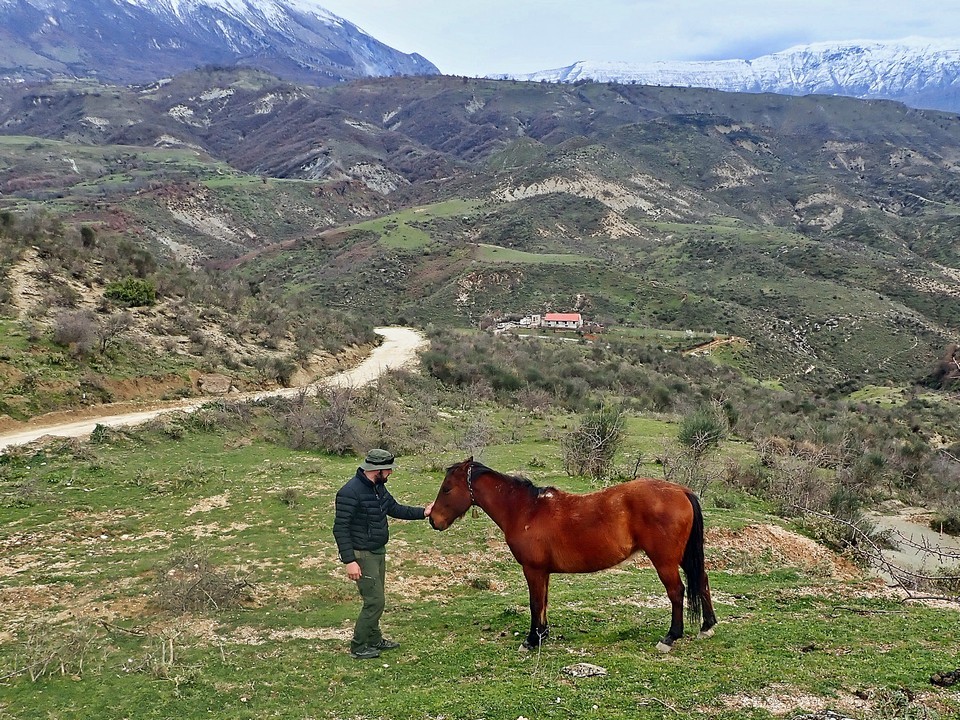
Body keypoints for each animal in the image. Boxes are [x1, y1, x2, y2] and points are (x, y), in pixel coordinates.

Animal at [432, 462, 716, 652]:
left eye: (446, 489)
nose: (433, 520)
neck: (526, 510)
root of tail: (681, 491)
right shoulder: (543, 571)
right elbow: (544, 602)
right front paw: (542, 634)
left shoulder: (532, 569)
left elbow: (535, 603)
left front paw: (531, 640)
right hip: (682, 556)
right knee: (701, 580)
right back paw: (707, 626)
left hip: (664, 560)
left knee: (676, 591)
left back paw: (671, 637)